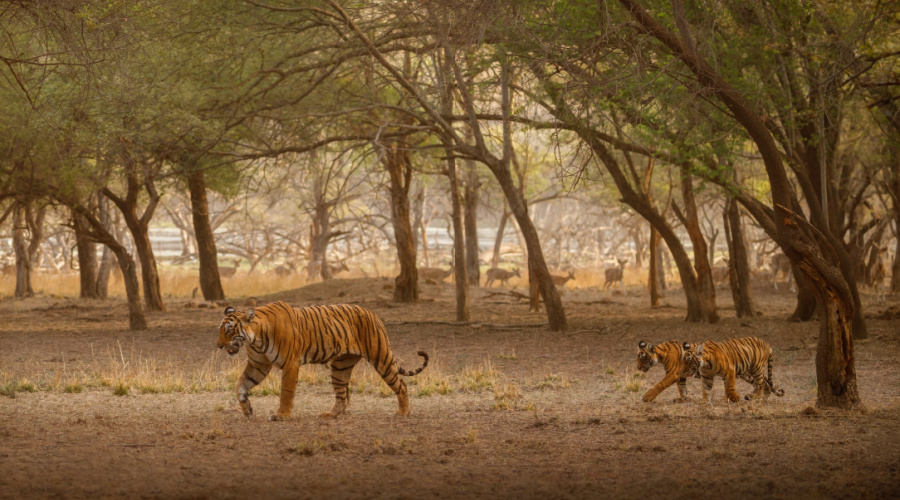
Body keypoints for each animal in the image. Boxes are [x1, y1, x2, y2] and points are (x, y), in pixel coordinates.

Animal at [218, 300, 428, 422]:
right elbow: (240, 385)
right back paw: (330, 415)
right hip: (340, 366)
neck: (255, 339)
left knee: (401, 385)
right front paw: (247, 409)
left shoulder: (290, 364)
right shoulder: (258, 365)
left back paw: (403, 412)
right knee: (343, 396)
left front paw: (281, 415)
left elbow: (286, 391)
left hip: (381, 357)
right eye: (220, 330)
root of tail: (372, 313)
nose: (219, 345)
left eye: (229, 330)